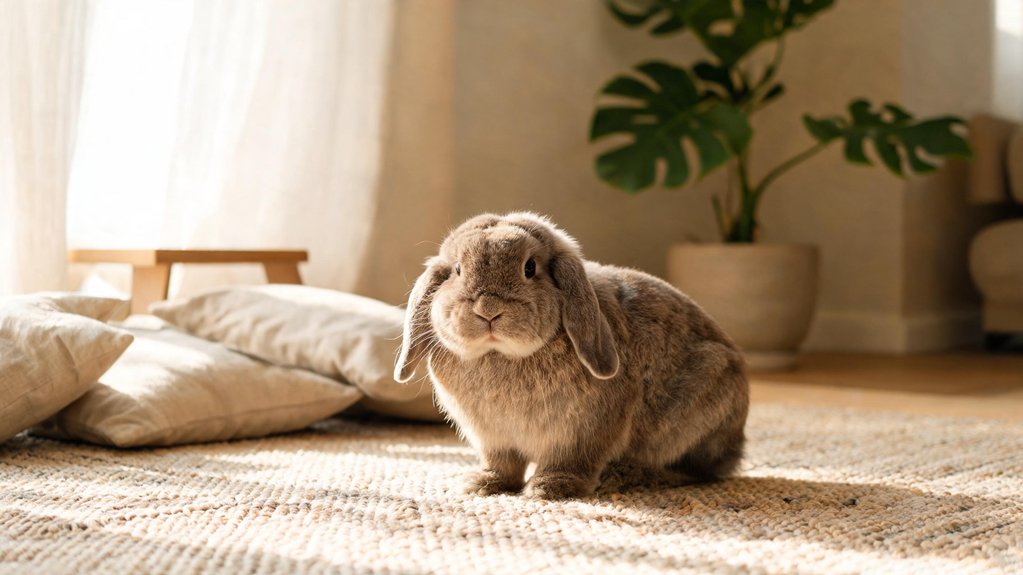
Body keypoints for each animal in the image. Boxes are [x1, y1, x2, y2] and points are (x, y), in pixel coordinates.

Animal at [394, 212, 749, 500]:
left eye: (530, 267)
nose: (488, 309)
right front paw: (482, 484)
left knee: (694, 469)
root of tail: (737, 444)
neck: (500, 354)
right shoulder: (494, 439)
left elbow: (571, 460)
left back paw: (623, 476)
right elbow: (502, 463)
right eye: (457, 269)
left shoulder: (580, 434)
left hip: (698, 404)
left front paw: (550, 488)